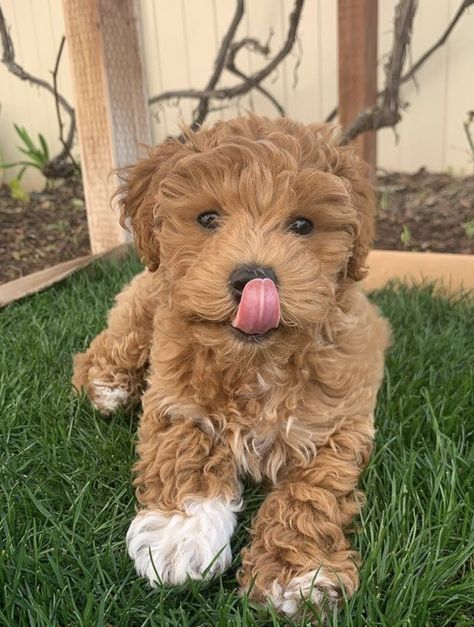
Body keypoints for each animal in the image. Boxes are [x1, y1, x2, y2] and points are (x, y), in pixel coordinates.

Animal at [73, 115, 388, 616]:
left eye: (303, 224)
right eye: (207, 219)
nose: (252, 278)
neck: (254, 362)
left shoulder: (336, 426)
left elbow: (311, 492)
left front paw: (295, 573)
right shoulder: (175, 398)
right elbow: (183, 452)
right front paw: (180, 536)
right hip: (145, 304)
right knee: (107, 343)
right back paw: (109, 387)